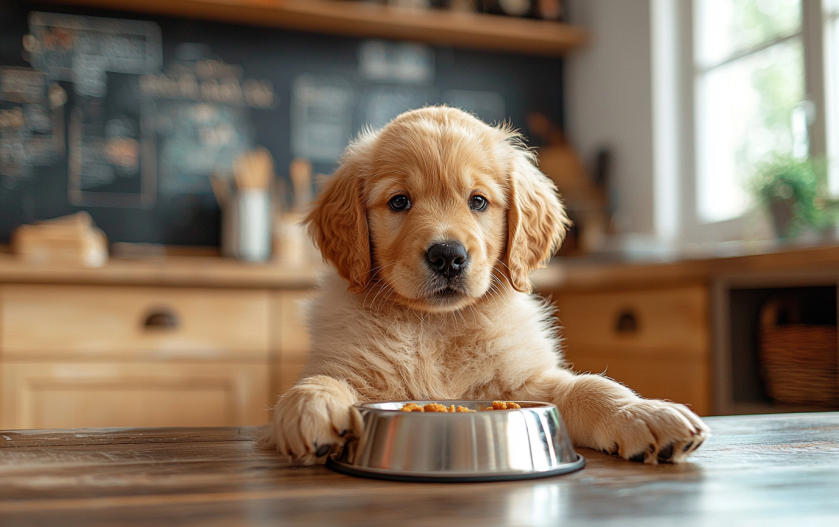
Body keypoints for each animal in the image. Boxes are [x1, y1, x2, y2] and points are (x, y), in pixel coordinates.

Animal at [268, 107, 708, 466]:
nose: (447, 256)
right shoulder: (345, 367)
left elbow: (589, 387)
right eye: (399, 202)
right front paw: (313, 405)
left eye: (478, 201)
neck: (437, 327)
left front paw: (643, 413)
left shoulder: (527, 382)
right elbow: (322, 378)